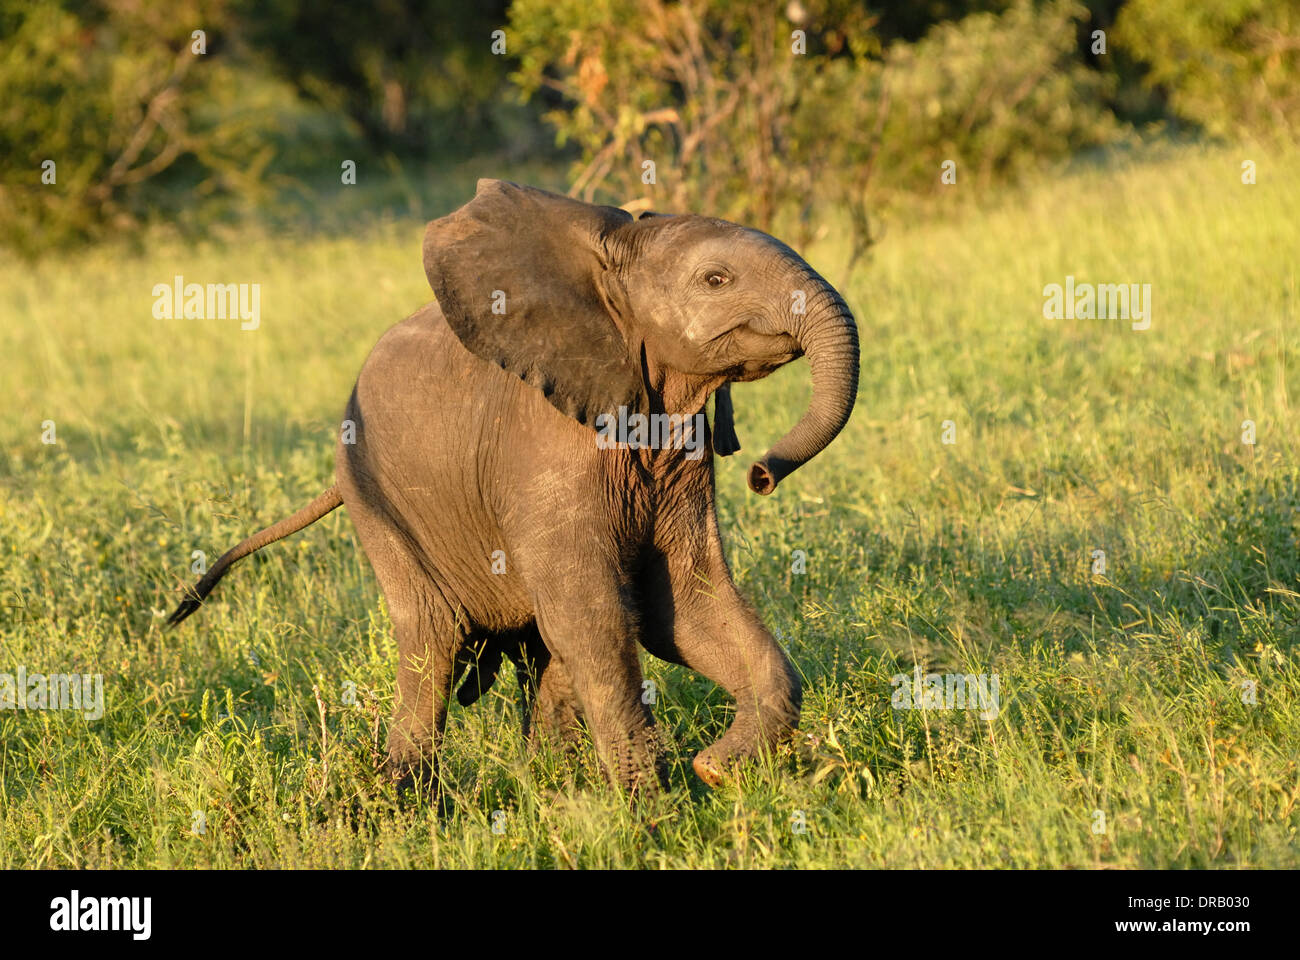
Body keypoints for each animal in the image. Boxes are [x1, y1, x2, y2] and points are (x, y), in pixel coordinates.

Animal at [167, 178, 857, 790]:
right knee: (432, 645)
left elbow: (684, 605)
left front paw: (712, 770)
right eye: (716, 280)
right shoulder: (542, 446)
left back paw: (551, 783)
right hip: (375, 500)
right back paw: (407, 802)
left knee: (533, 651)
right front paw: (654, 811)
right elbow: (593, 618)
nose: (761, 475)